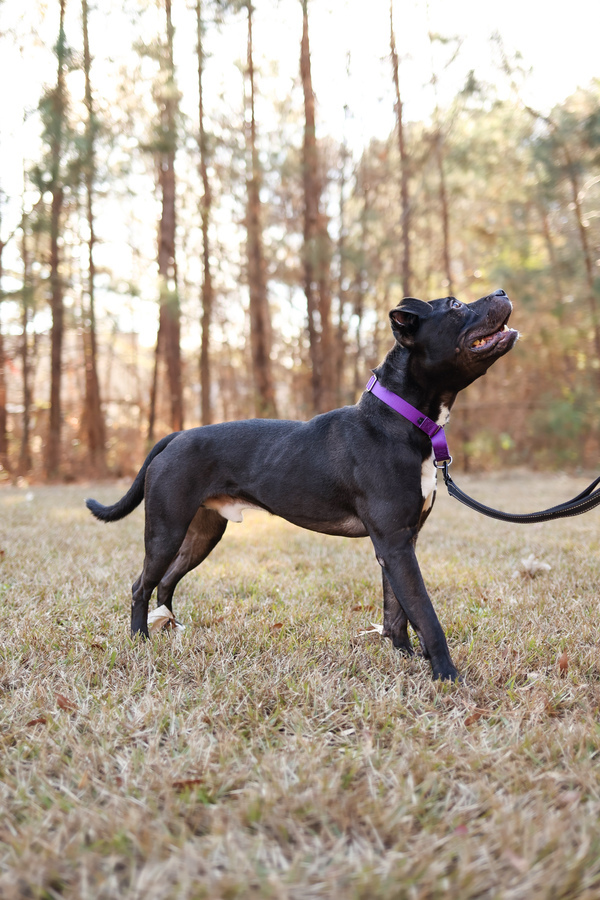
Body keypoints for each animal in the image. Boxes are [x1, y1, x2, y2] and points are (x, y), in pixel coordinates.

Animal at [86, 292, 516, 680]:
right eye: (455, 306)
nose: (501, 292)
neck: (399, 417)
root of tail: (175, 436)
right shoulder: (395, 543)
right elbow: (425, 613)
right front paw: (446, 675)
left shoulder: (400, 542)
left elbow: (397, 611)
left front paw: (407, 658)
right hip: (166, 531)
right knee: (141, 585)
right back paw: (140, 639)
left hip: (201, 533)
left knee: (166, 582)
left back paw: (169, 630)